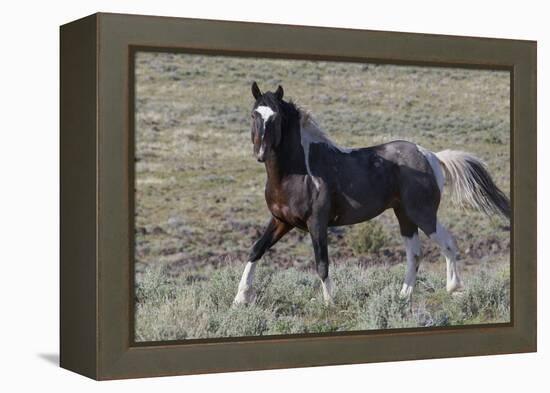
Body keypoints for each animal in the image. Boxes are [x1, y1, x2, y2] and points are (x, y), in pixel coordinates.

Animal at [232, 81, 508, 304]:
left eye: (276, 117)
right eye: (254, 114)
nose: (261, 153)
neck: (296, 173)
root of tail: (431, 156)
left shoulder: (317, 223)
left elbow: (322, 263)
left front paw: (329, 304)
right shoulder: (281, 221)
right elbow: (256, 250)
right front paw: (240, 299)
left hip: (423, 213)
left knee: (447, 243)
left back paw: (454, 288)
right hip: (404, 215)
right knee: (415, 254)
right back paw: (402, 297)